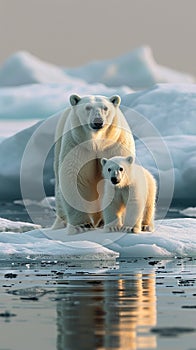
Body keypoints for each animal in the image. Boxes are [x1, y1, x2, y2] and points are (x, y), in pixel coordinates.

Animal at [52, 94, 135, 234]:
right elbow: (74, 177)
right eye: (87, 107)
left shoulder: (114, 145)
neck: (96, 142)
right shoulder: (77, 145)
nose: (98, 121)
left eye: (105, 108)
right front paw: (83, 224)